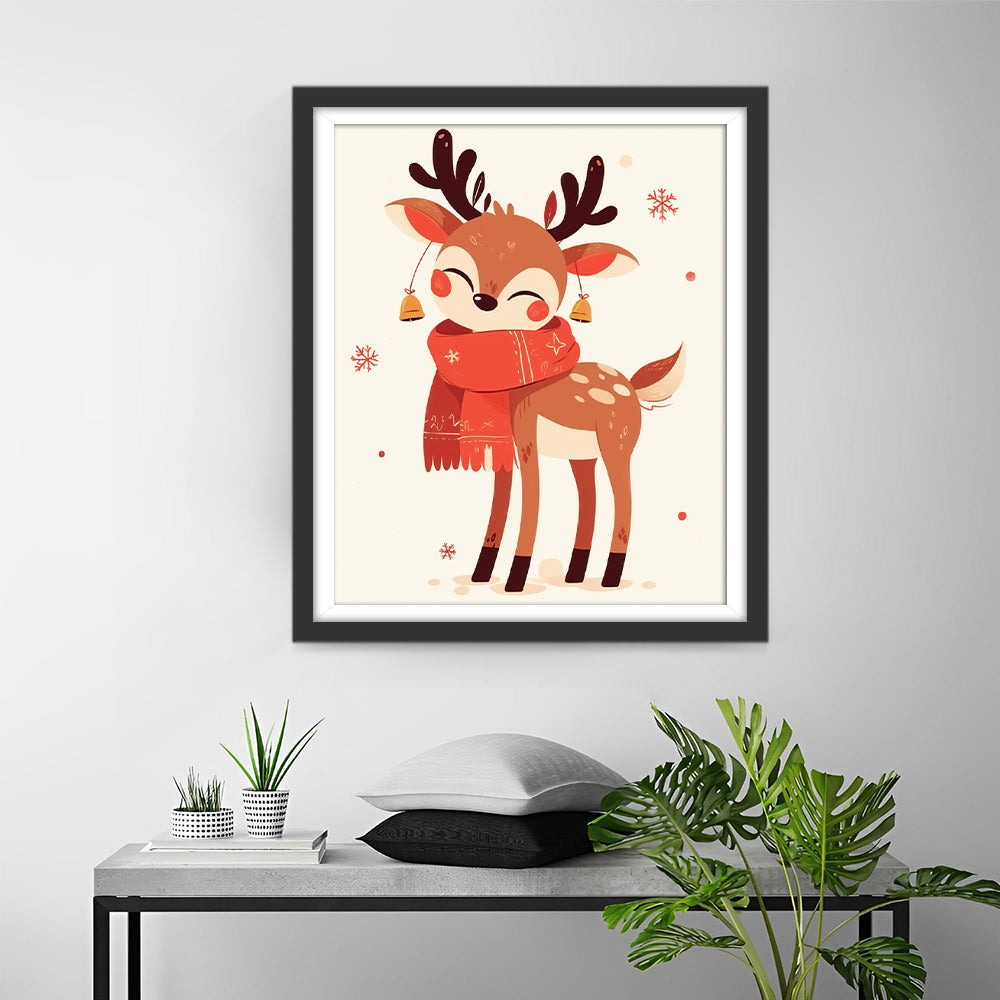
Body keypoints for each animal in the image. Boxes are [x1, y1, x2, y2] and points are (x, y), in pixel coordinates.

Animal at [386, 129, 685, 594]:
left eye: (531, 295)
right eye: (455, 272)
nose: (484, 300)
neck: (505, 384)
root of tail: (633, 387)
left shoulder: (525, 438)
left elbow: (532, 500)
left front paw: (515, 578)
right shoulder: (503, 444)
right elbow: (501, 499)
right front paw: (482, 572)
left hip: (617, 445)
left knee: (625, 501)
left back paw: (610, 577)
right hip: (583, 455)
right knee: (589, 499)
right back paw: (575, 572)